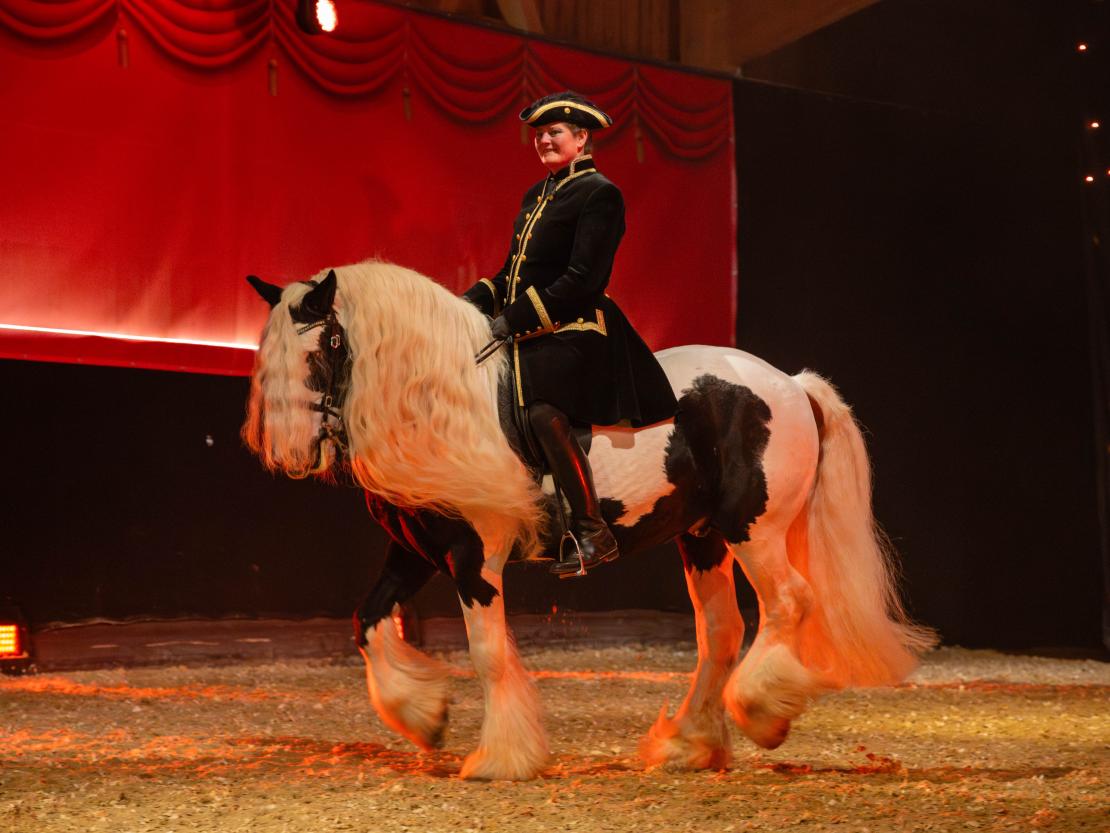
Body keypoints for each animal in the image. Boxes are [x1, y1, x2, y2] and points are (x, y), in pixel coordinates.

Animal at [243, 259, 935, 781]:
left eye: (329, 344)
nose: (294, 453)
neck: (441, 405)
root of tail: (788, 383)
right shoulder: (415, 552)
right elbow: (366, 621)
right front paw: (424, 714)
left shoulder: (476, 557)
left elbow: (488, 653)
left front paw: (500, 758)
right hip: (703, 537)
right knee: (722, 631)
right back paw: (688, 744)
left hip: (753, 529)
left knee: (788, 602)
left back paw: (761, 709)